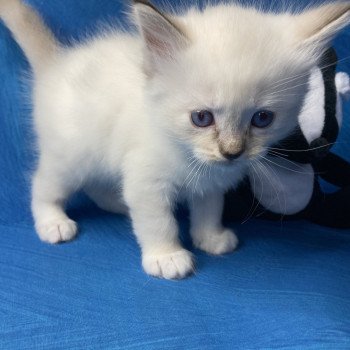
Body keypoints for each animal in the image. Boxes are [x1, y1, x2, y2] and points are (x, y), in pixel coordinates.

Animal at [0, 0, 350, 278]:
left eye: (262, 118)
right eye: (202, 118)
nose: (232, 152)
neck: (190, 156)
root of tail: (56, 65)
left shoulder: (210, 184)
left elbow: (209, 210)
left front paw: (211, 238)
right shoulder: (146, 181)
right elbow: (159, 222)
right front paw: (167, 257)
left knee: (98, 185)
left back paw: (117, 203)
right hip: (72, 156)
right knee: (44, 185)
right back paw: (53, 223)